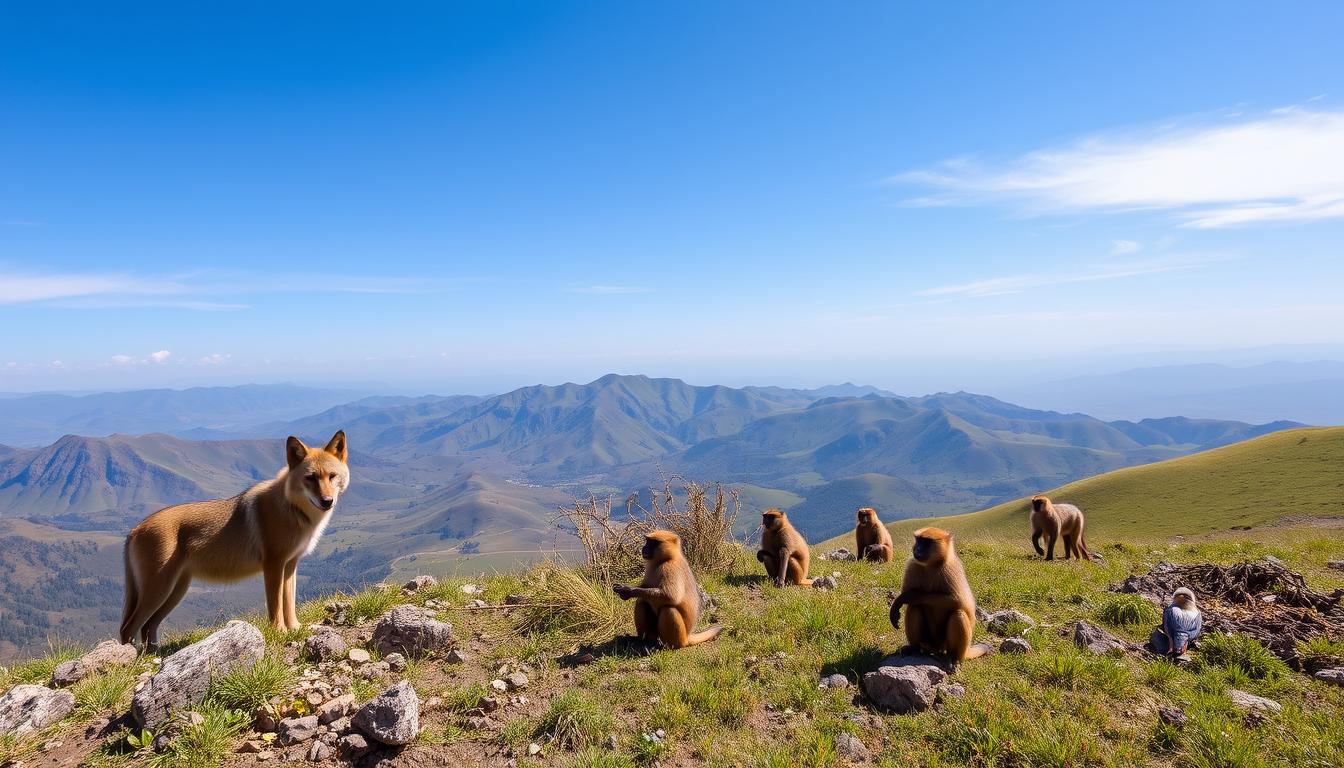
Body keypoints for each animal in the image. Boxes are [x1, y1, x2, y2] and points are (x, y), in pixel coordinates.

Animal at [120, 430, 349, 645]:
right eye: (311, 478)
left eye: (332, 476)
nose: (327, 501)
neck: (292, 509)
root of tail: (134, 530)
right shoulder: (273, 566)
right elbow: (275, 607)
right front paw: (279, 633)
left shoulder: (290, 565)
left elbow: (289, 604)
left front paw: (294, 629)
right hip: (159, 591)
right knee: (128, 627)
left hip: (174, 592)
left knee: (147, 626)